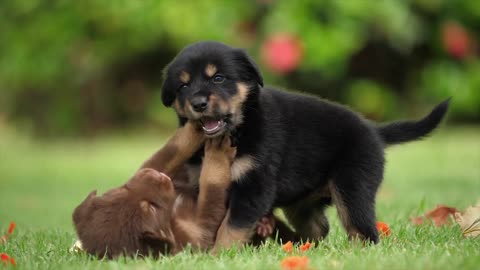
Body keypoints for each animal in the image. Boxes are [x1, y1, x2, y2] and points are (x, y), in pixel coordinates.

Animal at [72, 134, 234, 258]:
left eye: (123, 189)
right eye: (152, 208)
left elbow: (168, 152)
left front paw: (194, 128)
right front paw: (217, 151)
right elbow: (211, 190)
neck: (171, 217)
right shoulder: (198, 230)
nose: (156, 175)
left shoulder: (147, 169)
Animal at [161, 41, 450, 248]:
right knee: (320, 227)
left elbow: (231, 227)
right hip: (301, 204)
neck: (240, 128)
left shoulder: (254, 186)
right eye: (183, 86)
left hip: (353, 187)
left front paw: (220, 254)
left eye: (218, 78)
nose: (198, 103)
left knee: (363, 231)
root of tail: (373, 131)